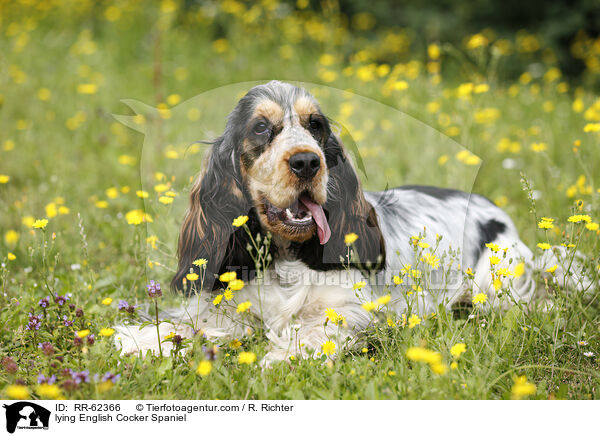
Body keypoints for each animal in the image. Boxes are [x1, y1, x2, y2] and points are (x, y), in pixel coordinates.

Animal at [116, 82, 584, 364]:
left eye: (315, 125)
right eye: (262, 128)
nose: (307, 161)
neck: (285, 254)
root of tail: (495, 211)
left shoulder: (350, 311)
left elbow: (311, 330)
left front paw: (279, 358)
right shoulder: (224, 308)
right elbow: (180, 325)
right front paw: (136, 341)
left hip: (496, 283)